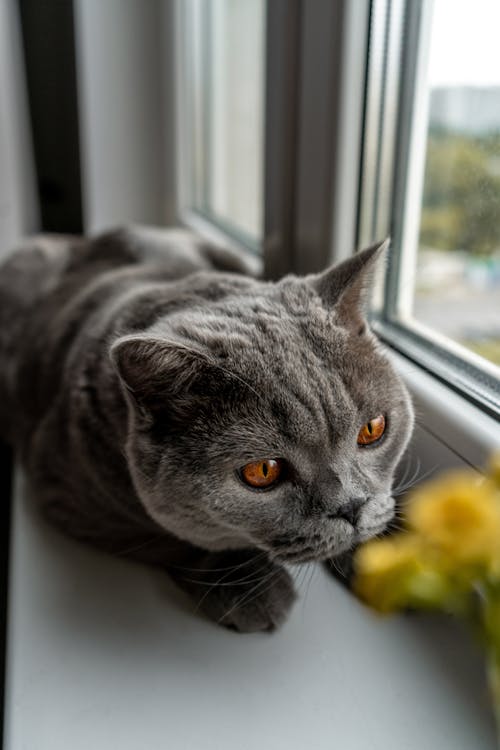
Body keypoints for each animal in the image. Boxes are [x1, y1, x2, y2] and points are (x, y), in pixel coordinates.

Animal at [0, 226, 414, 632]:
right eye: (263, 471)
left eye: (373, 430)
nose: (352, 507)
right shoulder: (61, 488)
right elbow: (175, 538)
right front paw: (250, 587)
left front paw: (384, 555)